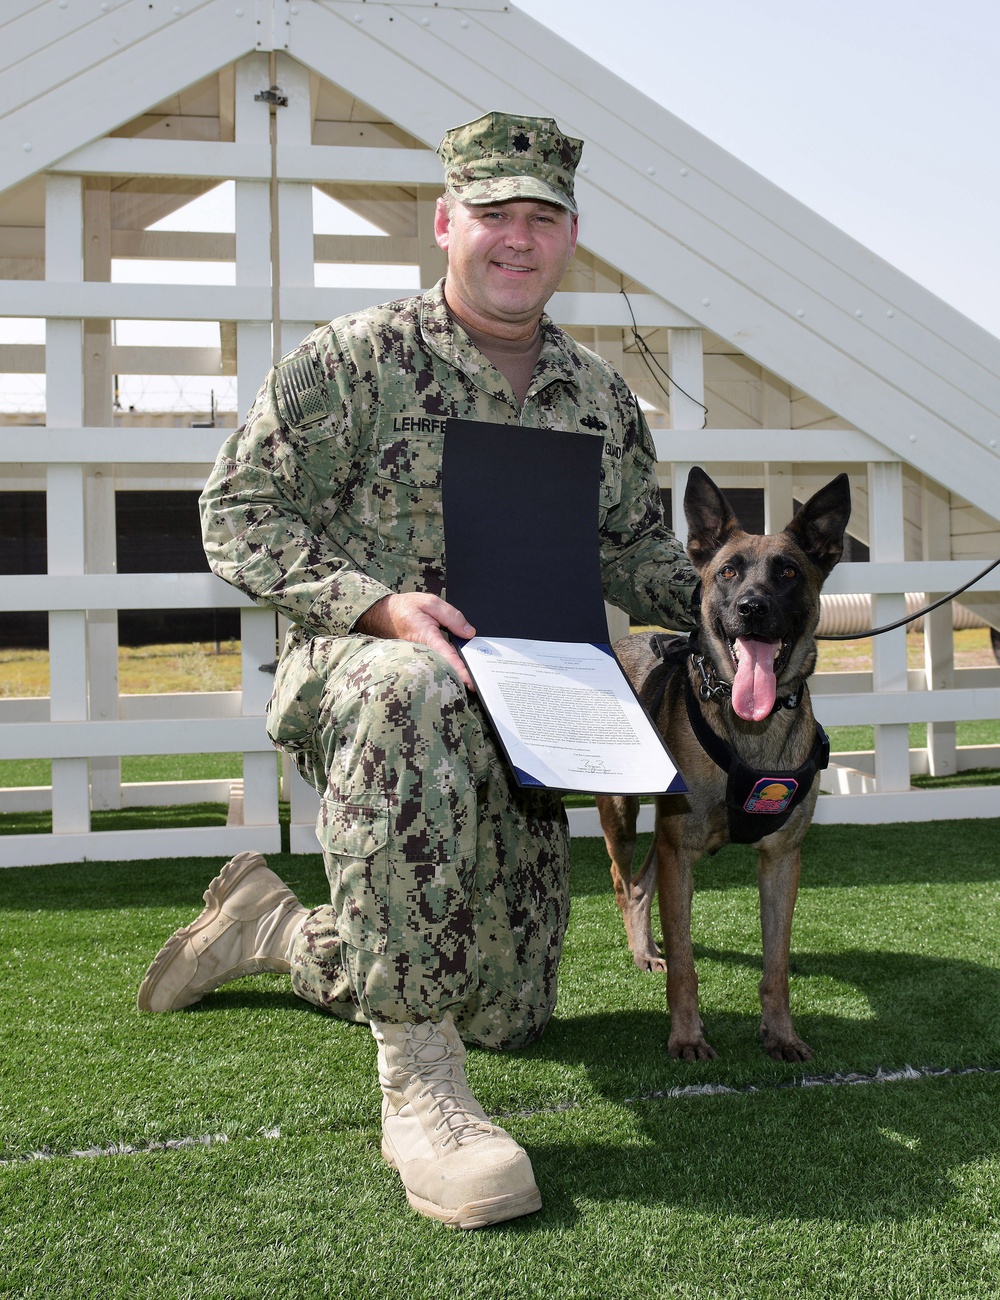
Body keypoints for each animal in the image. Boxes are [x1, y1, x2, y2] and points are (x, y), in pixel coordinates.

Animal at [598, 465, 847, 1055]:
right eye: (729, 571)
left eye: (788, 572)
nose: (751, 608)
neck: (750, 728)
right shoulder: (681, 851)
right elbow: (686, 961)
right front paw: (687, 1035)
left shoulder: (781, 858)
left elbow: (776, 963)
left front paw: (781, 1034)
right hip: (622, 812)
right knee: (624, 881)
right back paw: (641, 950)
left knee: (641, 881)